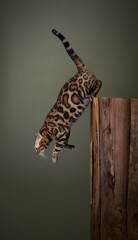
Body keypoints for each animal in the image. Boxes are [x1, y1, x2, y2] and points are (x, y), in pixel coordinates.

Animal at [34, 28, 102, 163]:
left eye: (36, 148)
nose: (36, 154)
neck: (47, 128)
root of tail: (81, 70)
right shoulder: (67, 130)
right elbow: (63, 143)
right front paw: (69, 147)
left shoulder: (62, 131)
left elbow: (56, 146)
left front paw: (54, 158)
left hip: (86, 87)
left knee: (99, 81)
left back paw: (93, 94)